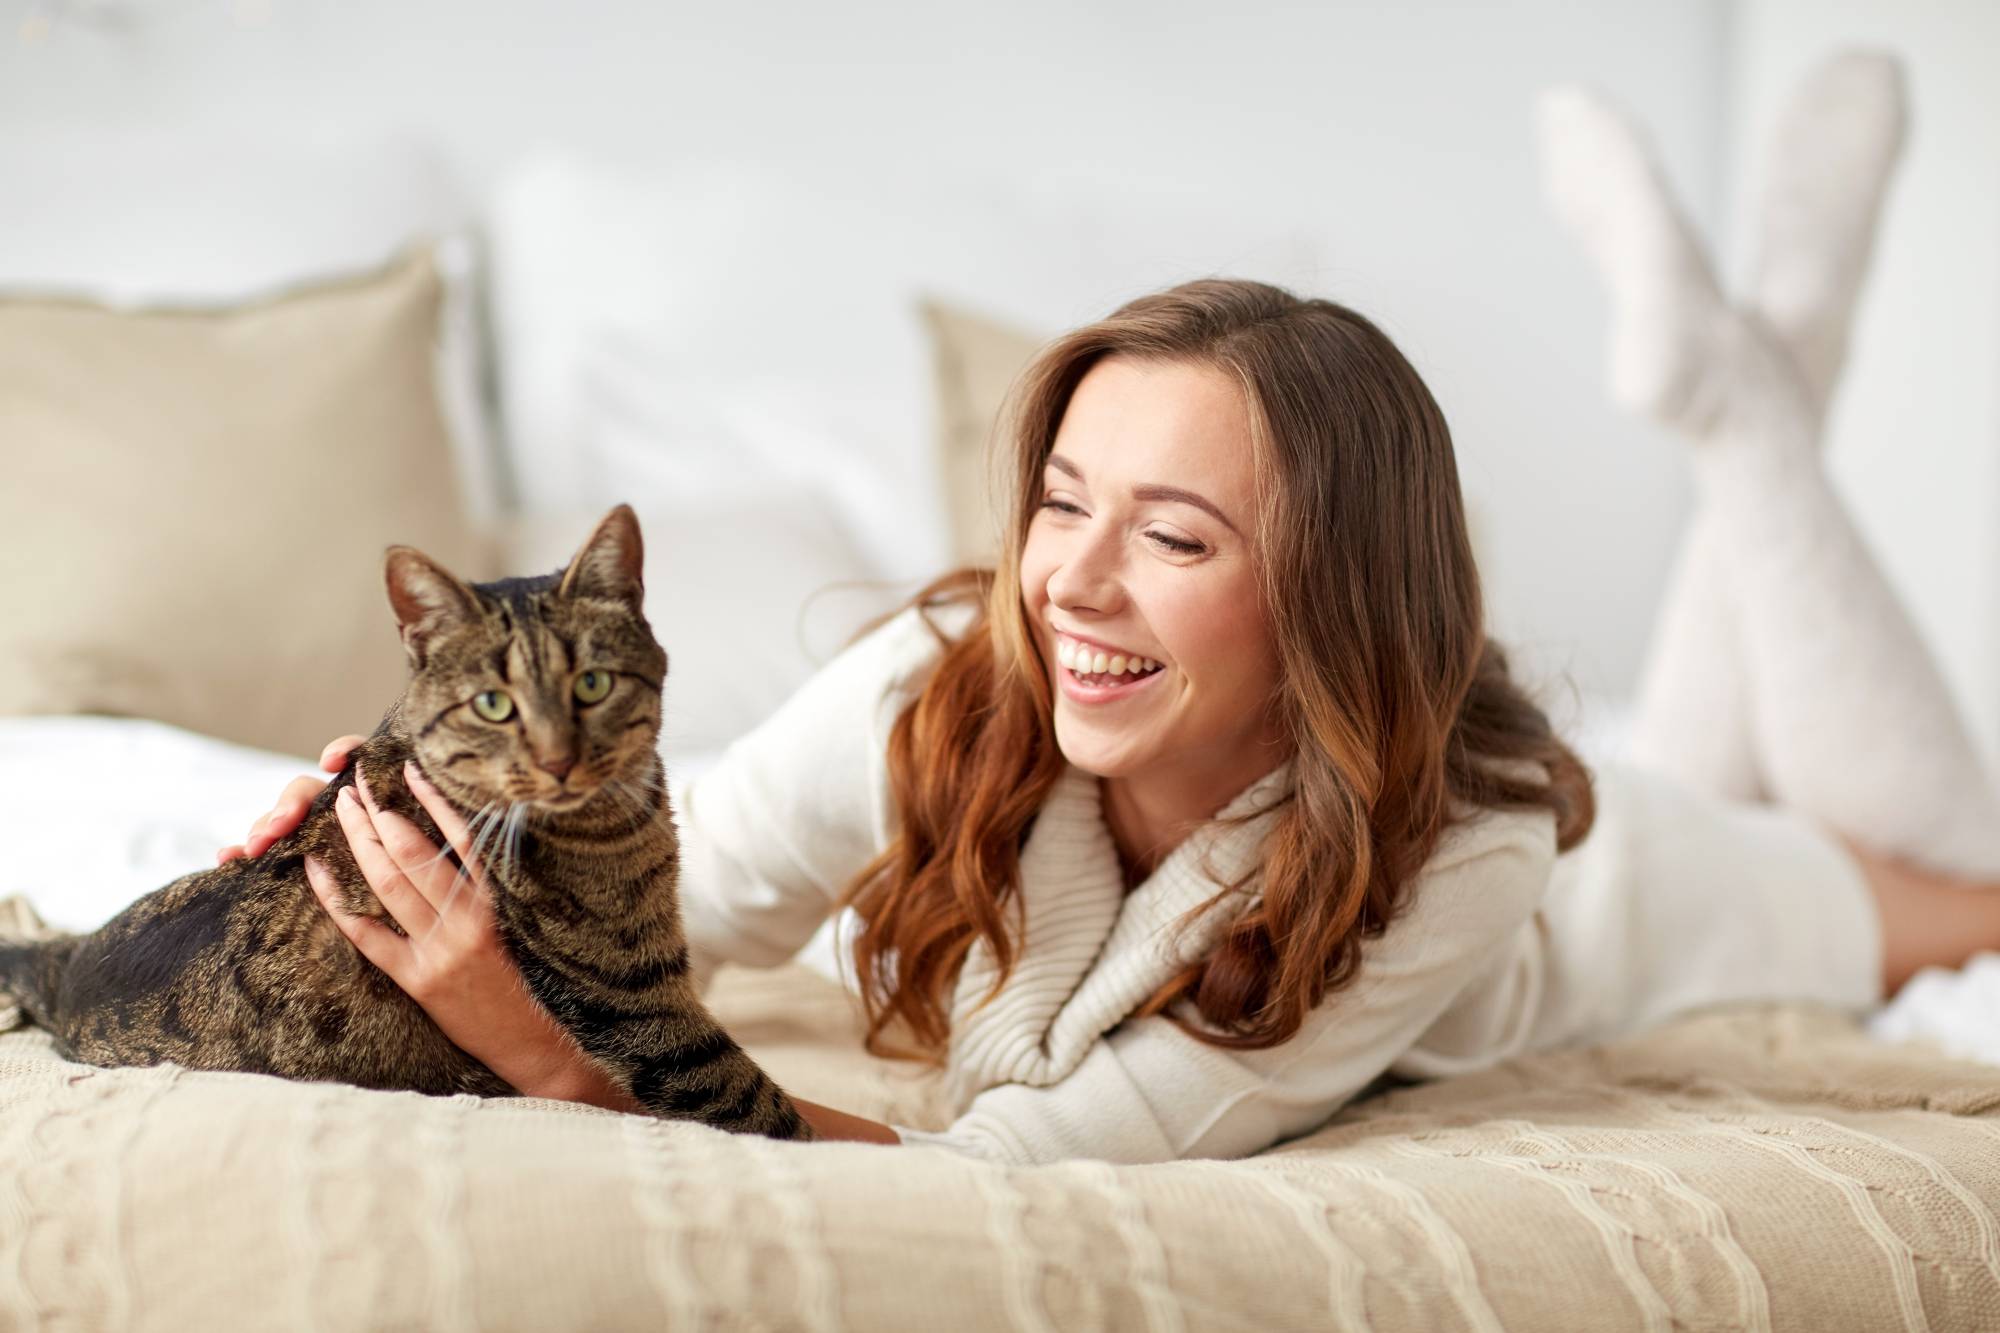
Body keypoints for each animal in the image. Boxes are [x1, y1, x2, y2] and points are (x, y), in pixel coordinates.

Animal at [1, 504, 812, 1136]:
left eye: (592, 684)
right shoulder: (637, 998)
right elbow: (755, 1102)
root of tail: (66, 968)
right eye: (494, 703)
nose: (557, 760)